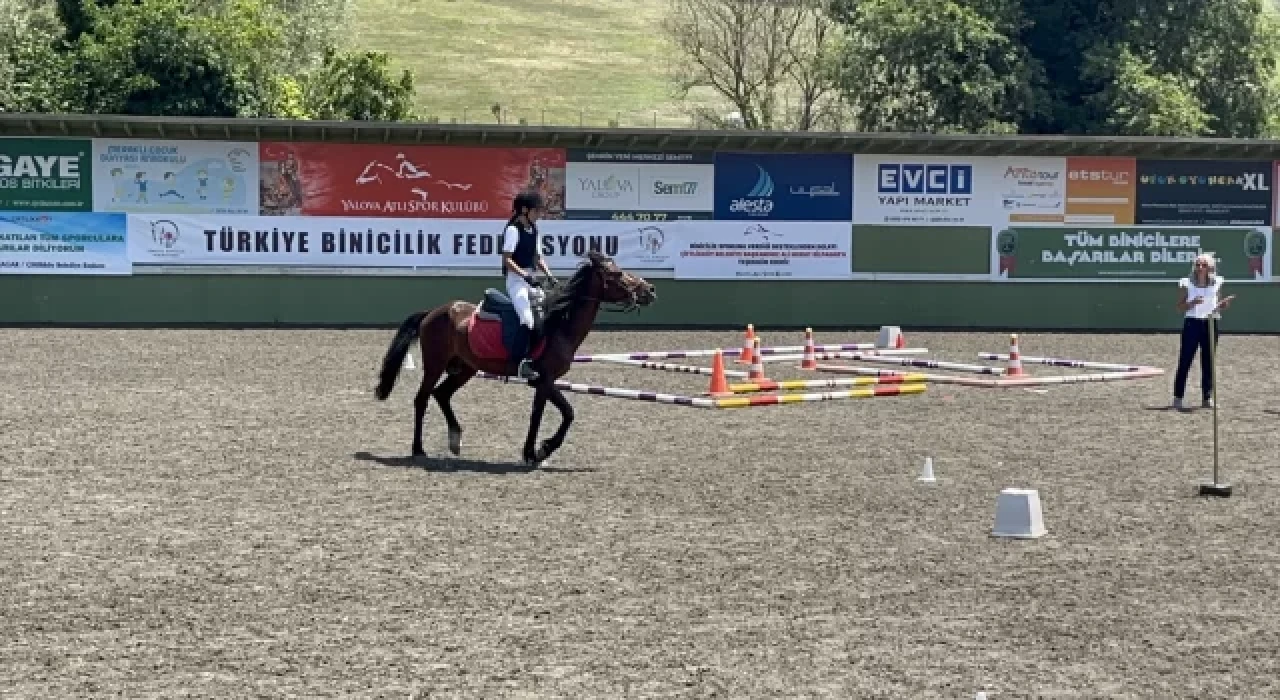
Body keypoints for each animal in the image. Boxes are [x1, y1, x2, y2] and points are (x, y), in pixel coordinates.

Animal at [373, 250, 657, 466]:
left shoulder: (547, 381)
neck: (559, 324)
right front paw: (534, 452)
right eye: (617, 274)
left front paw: (543, 449)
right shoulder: (543, 380)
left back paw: (455, 440)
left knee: (441, 394)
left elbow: (567, 412)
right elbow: (542, 414)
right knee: (422, 399)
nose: (650, 290)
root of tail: (433, 312)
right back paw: (418, 449)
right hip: (435, 366)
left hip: (465, 368)